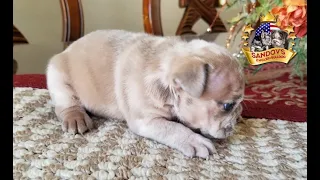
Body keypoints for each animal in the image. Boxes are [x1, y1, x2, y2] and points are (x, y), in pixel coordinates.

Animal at [46, 29, 244, 159]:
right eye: (228, 106)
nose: (236, 118)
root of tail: (67, 49)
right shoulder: (146, 120)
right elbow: (172, 128)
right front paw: (194, 140)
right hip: (57, 74)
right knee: (66, 103)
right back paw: (75, 117)